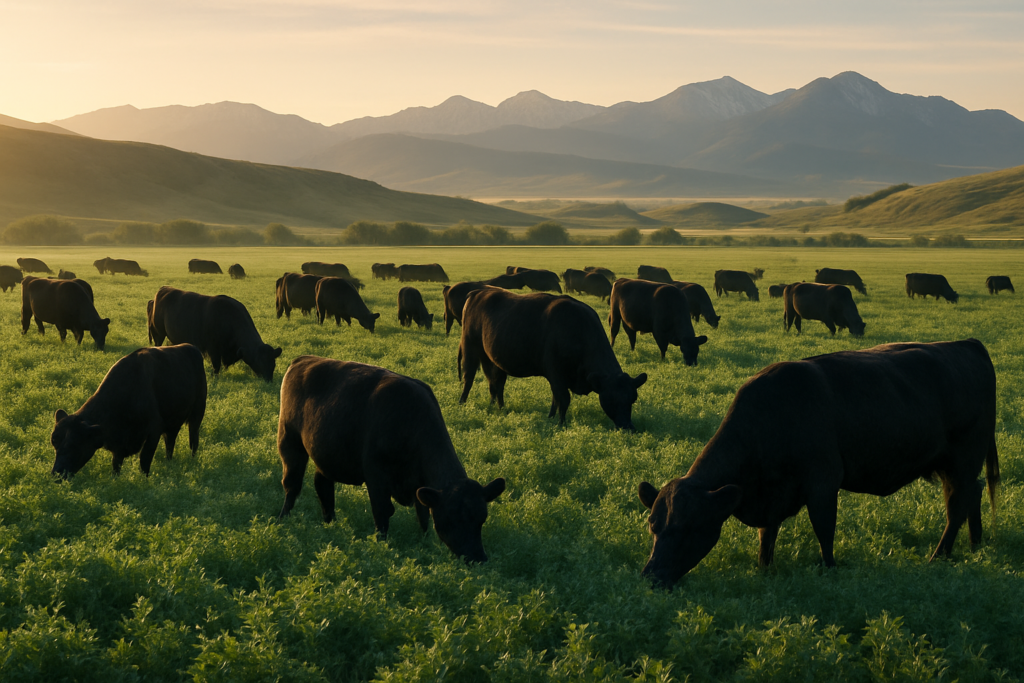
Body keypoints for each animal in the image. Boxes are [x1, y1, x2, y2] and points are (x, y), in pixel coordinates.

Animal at [50, 344, 207, 478]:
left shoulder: (153, 431)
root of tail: (192, 348)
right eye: (54, 442)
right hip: (173, 422)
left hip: (197, 413)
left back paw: (192, 460)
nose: (56, 474)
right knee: (170, 442)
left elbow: (144, 460)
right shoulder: (118, 445)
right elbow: (116, 465)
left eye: (73, 445)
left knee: (193, 439)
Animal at [147, 286, 282, 381]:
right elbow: (216, 366)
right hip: (158, 333)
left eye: (273, 362)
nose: (268, 379)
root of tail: (162, 290)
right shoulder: (213, 349)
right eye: (261, 361)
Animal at [277, 356, 506, 562]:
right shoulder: (376, 476)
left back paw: (330, 523)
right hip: (289, 441)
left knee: (323, 485)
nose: (478, 558)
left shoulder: (419, 485)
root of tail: (303, 360)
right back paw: (283, 520)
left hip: (326, 456)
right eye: (452, 518)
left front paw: (425, 542)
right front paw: (381, 546)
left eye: (482, 519)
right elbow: (383, 512)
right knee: (292, 485)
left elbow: (423, 516)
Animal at [459, 288, 648, 429]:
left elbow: (555, 398)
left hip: (494, 360)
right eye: (612, 399)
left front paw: (550, 418)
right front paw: (561, 424)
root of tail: (478, 292)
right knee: (468, 378)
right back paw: (462, 403)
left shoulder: (557, 377)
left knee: (496, 384)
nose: (628, 427)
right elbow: (563, 399)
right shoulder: (555, 372)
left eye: (633, 399)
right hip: (470, 348)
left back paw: (499, 408)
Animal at [638, 339, 999, 588]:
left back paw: (939, 556)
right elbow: (767, 536)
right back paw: (976, 544)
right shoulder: (774, 495)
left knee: (957, 505)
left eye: (687, 527)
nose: (651, 576)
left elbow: (824, 529)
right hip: (953, 466)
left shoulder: (823, 482)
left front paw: (829, 569)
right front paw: (764, 569)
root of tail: (968, 344)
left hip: (963, 459)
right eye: (653, 525)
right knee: (974, 494)